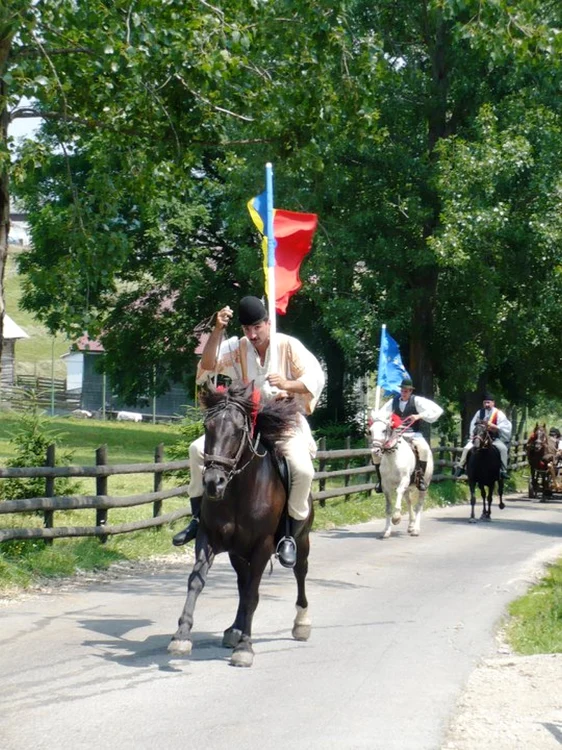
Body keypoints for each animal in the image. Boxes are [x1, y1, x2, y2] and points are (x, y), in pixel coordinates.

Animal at [168, 384, 312, 668]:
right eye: (208, 426)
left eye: (237, 430)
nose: (214, 482)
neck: (239, 491)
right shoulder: (208, 538)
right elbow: (196, 582)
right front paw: (181, 635)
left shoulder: (262, 546)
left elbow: (254, 594)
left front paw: (245, 647)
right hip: (237, 553)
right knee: (242, 585)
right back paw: (234, 629)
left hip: (301, 541)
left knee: (299, 572)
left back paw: (301, 623)